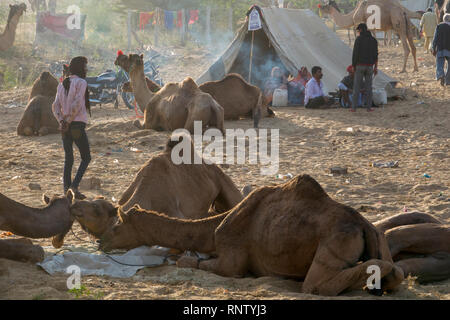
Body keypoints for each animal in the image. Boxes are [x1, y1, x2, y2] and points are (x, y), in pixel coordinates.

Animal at [99, 174, 404, 296]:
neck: (213, 229)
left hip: (335, 241)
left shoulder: (232, 259)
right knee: (396, 273)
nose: (101, 241)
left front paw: (181, 258)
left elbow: (200, 263)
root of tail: (363, 224)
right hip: (379, 237)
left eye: (117, 226)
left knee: (316, 286)